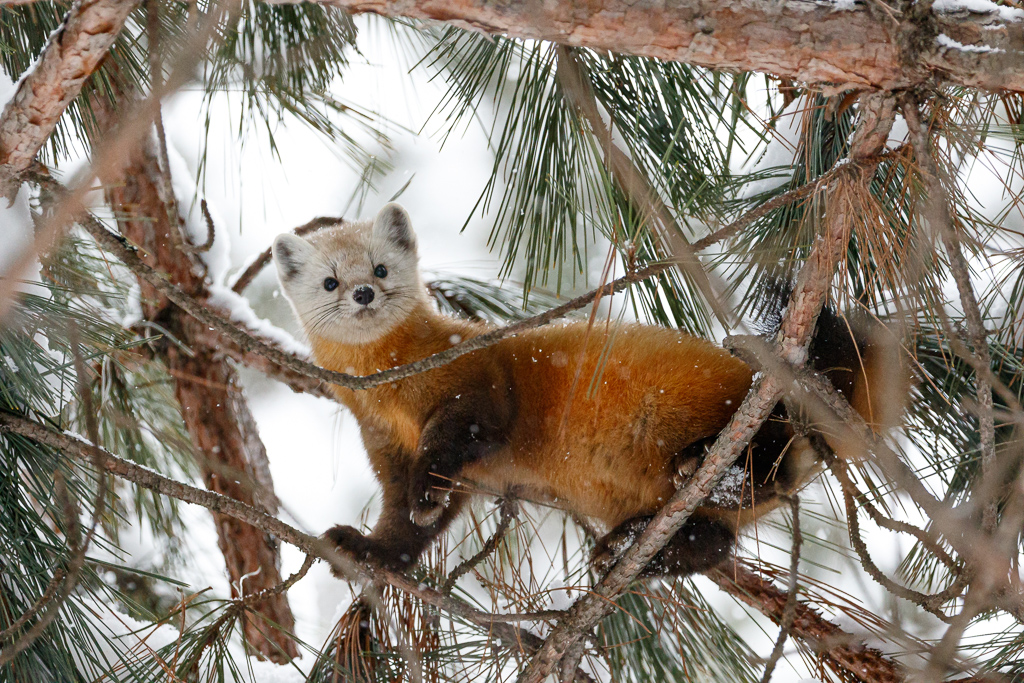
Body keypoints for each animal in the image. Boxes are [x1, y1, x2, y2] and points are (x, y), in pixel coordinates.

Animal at [272, 203, 903, 578]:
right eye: (329, 281)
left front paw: (426, 491)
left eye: (380, 268)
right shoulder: (383, 444)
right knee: (715, 541)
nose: (362, 294)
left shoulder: (477, 384)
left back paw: (702, 466)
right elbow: (405, 524)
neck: (398, 397)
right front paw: (360, 545)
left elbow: (459, 438)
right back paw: (626, 544)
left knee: (764, 462)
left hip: (733, 407)